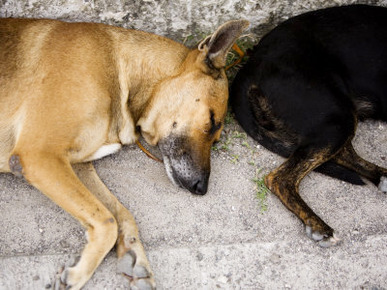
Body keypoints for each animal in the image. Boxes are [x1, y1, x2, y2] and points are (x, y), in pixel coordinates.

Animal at [0, 19, 249, 288]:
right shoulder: (39, 156)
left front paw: (134, 254)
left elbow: (120, 213)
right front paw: (78, 274)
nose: (201, 188)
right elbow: (107, 221)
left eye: (216, 138)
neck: (121, 71)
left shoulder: (75, 164)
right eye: (212, 122)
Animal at [230, 3, 387, 247]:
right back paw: (319, 225)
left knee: (339, 153)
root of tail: (249, 67)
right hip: (337, 116)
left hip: (334, 117)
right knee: (279, 178)